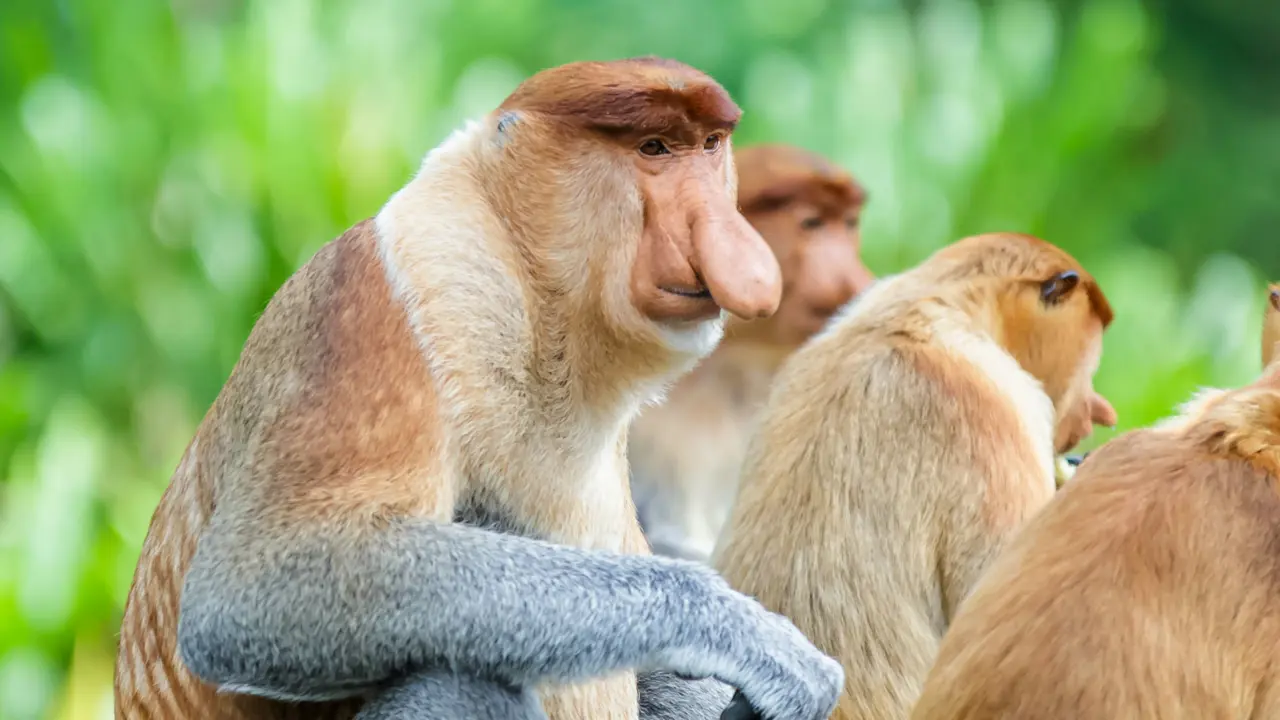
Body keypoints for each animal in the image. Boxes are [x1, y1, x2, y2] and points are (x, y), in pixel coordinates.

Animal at [112, 57, 845, 720]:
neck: (541, 307)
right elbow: (250, 591)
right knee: (460, 679)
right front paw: (753, 637)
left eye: (710, 145)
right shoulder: (394, 299)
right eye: (654, 149)